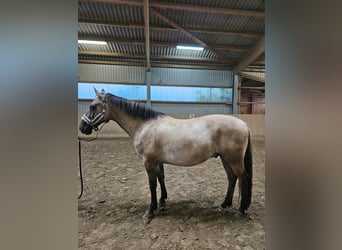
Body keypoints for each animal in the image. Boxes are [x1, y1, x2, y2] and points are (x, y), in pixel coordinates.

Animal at [79, 89, 252, 222]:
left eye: (92, 106)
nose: (82, 127)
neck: (145, 125)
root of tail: (243, 124)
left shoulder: (148, 162)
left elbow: (152, 184)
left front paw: (150, 211)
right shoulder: (157, 161)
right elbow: (161, 178)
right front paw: (162, 201)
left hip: (234, 160)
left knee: (243, 177)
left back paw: (241, 209)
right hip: (225, 158)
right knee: (232, 178)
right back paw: (225, 205)